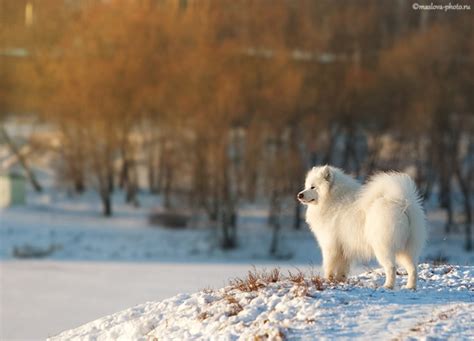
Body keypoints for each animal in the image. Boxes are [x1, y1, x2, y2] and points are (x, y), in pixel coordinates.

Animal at [296, 166, 426, 288]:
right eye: (307, 186)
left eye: (313, 187)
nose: (299, 195)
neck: (333, 198)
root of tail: (402, 204)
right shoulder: (344, 248)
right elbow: (342, 269)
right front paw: (340, 281)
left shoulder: (330, 246)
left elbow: (329, 266)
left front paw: (328, 280)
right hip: (407, 249)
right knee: (413, 268)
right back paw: (410, 287)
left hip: (383, 247)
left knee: (391, 267)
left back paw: (388, 286)